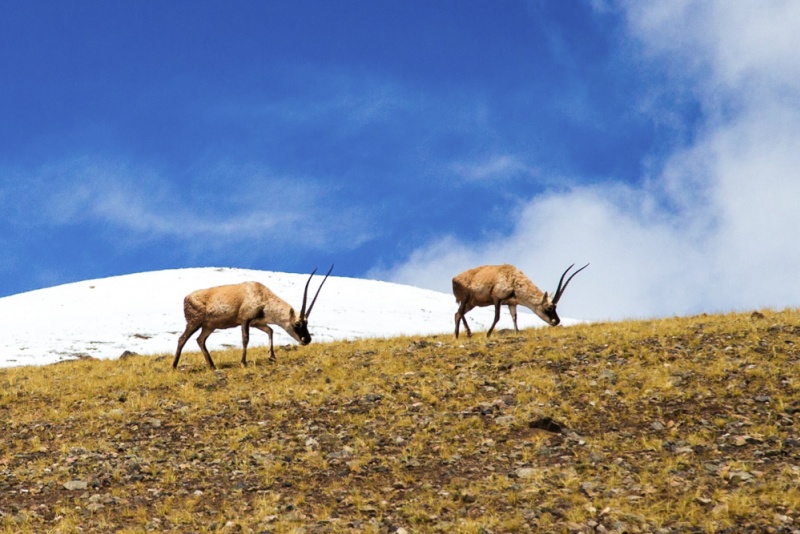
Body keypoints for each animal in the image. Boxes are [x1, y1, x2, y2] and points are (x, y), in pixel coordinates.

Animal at [173, 266, 332, 370]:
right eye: (298, 323)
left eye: (306, 323)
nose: (307, 339)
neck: (262, 295)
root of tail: (187, 298)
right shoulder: (245, 320)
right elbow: (245, 339)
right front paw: (243, 363)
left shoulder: (257, 323)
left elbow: (270, 331)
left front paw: (272, 357)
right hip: (194, 323)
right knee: (182, 339)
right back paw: (174, 366)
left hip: (208, 326)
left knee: (200, 340)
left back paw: (212, 366)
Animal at [454, 262, 592, 340]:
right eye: (549, 308)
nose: (556, 321)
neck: (514, 280)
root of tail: (455, 278)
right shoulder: (497, 299)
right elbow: (497, 317)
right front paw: (488, 334)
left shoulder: (511, 304)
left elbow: (514, 318)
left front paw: (516, 333)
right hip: (466, 299)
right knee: (460, 312)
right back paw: (467, 334)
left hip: (472, 303)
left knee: (457, 314)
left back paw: (458, 336)